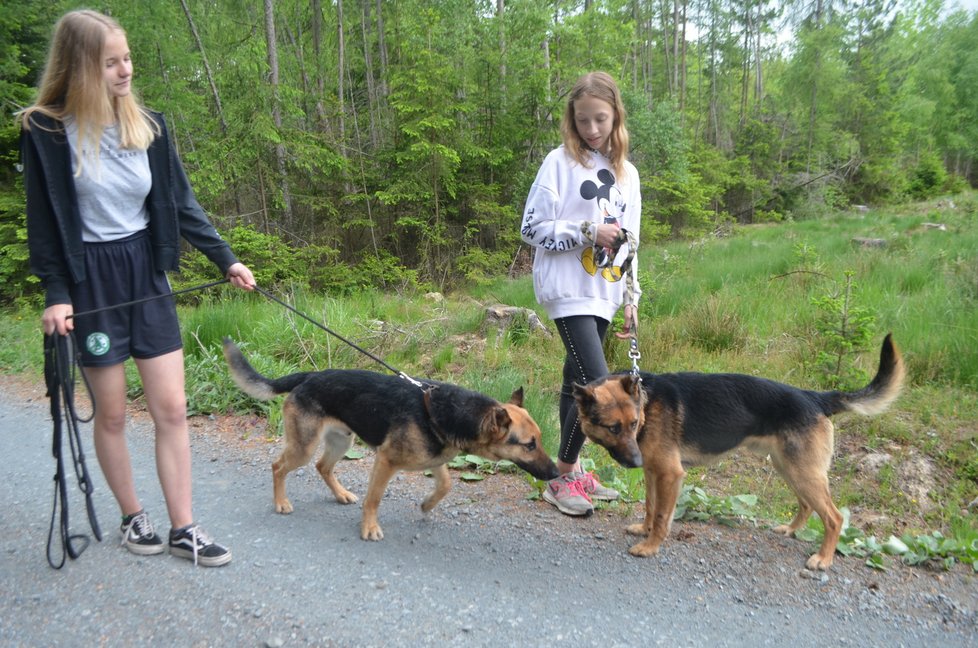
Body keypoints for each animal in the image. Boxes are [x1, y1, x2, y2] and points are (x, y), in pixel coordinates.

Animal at [222, 340, 556, 540]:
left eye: (539, 440)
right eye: (529, 445)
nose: (556, 473)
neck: (450, 411)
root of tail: (308, 376)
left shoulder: (434, 457)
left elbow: (446, 484)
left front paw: (426, 504)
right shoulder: (386, 461)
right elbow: (374, 499)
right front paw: (369, 528)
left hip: (341, 442)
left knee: (322, 467)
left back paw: (340, 494)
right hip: (304, 446)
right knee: (278, 467)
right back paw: (281, 502)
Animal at [568, 334, 904, 568]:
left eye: (633, 423)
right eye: (614, 428)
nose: (635, 460)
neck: (647, 401)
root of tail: (815, 397)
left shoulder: (669, 474)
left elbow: (663, 514)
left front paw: (651, 546)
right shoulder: (653, 471)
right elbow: (651, 506)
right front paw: (644, 529)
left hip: (803, 472)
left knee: (833, 518)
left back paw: (823, 559)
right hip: (790, 468)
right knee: (807, 505)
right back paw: (791, 529)